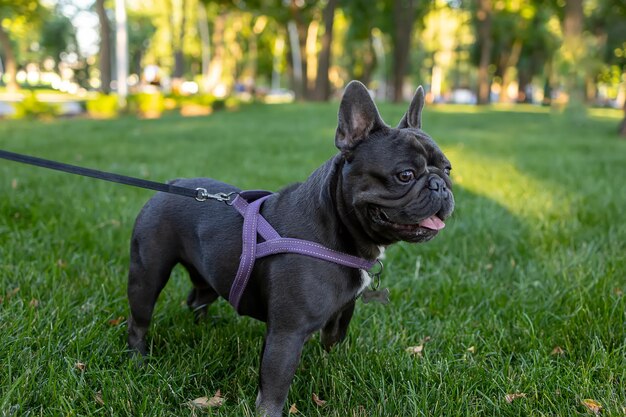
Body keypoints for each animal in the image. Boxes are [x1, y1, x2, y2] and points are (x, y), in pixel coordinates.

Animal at [125, 79, 454, 414]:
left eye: (447, 168)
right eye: (405, 175)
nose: (440, 185)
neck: (337, 228)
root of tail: (172, 184)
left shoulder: (342, 311)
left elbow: (333, 342)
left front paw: (334, 368)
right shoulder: (287, 333)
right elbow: (275, 386)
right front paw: (268, 412)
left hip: (208, 272)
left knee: (198, 297)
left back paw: (203, 329)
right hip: (147, 273)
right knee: (139, 319)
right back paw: (138, 359)